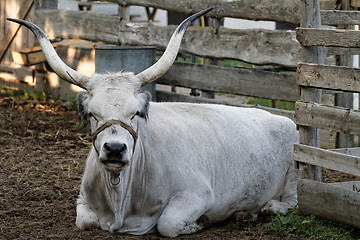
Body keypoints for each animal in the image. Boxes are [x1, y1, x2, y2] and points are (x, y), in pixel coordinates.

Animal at [9, 7, 300, 238]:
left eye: (136, 113)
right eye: (93, 114)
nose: (115, 149)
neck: (120, 202)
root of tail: (284, 120)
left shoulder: (197, 195)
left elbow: (168, 224)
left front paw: (202, 222)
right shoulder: (83, 200)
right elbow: (86, 222)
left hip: (295, 175)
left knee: (292, 202)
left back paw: (266, 209)